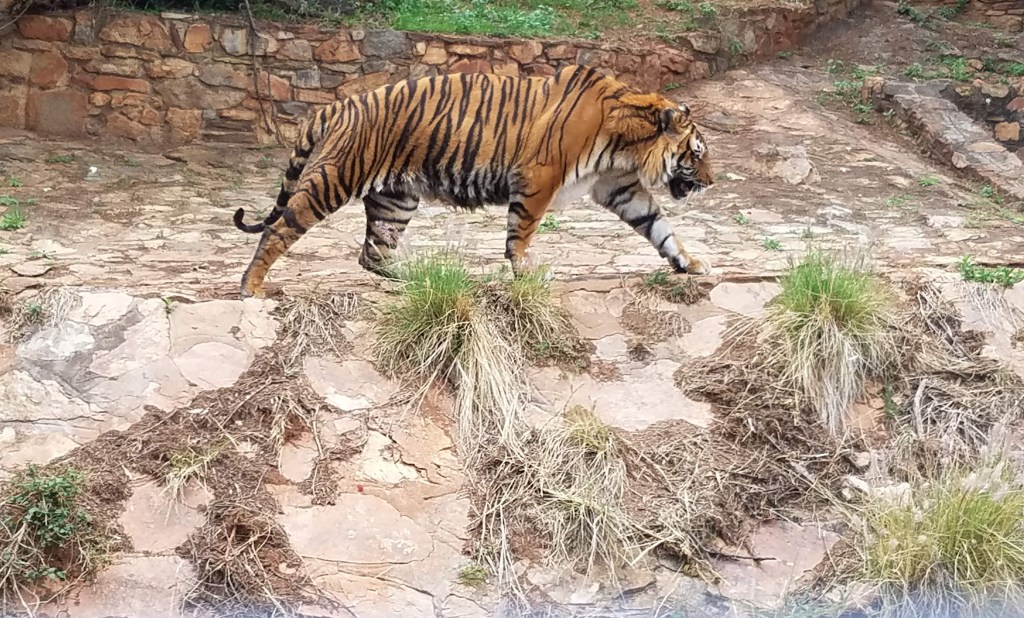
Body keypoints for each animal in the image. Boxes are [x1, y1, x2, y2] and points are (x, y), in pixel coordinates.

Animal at [234, 64, 715, 299]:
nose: (710, 182)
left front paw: (689, 263)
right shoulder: (539, 177)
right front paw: (526, 271)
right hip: (336, 177)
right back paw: (251, 287)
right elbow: (522, 230)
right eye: (697, 154)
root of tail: (338, 105)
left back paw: (414, 279)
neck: (628, 142)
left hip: (396, 199)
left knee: (372, 253)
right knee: (280, 229)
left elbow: (659, 227)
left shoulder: (619, 186)